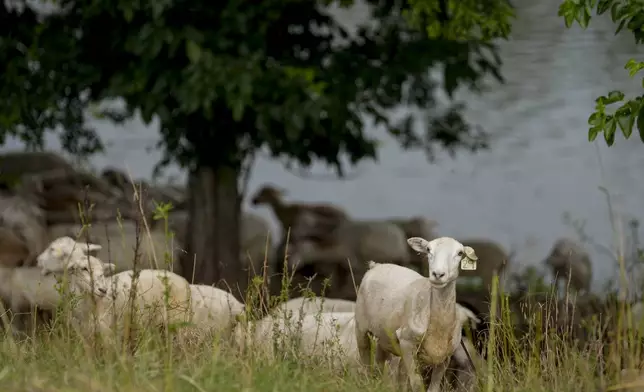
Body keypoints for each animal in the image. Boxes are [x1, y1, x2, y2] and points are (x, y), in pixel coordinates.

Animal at [354, 236, 480, 392]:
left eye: (460, 253)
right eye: (428, 250)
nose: (438, 274)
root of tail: (376, 265)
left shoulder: (445, 357)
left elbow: (434, 388)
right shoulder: (407, 342)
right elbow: (417, 384)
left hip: (385, 337)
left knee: (384, 366)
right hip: (361, 327)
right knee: (365, 362)